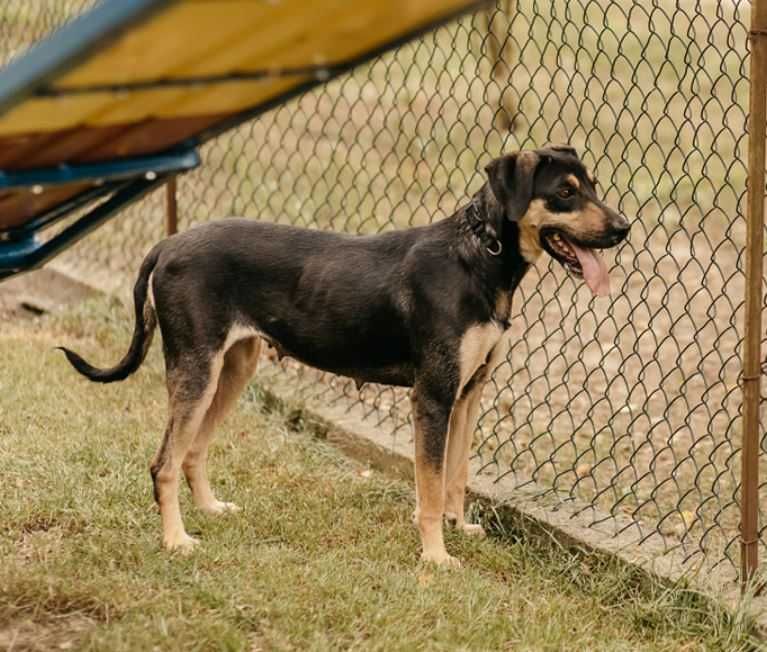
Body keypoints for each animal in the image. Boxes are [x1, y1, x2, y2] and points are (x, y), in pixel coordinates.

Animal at [58, 145, 632, 564]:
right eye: (564, 193)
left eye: (594, 187)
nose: (624, 228)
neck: (479, 254)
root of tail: (167, 244)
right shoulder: (433, 397)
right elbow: (428, 487)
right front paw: (435, 556)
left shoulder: (469, 393)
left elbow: (457, 476)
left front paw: (459, 528)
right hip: (196, 368)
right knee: (164, 463)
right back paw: (176, 541)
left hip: (233, 366)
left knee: (192, 451)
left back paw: (211, 510)